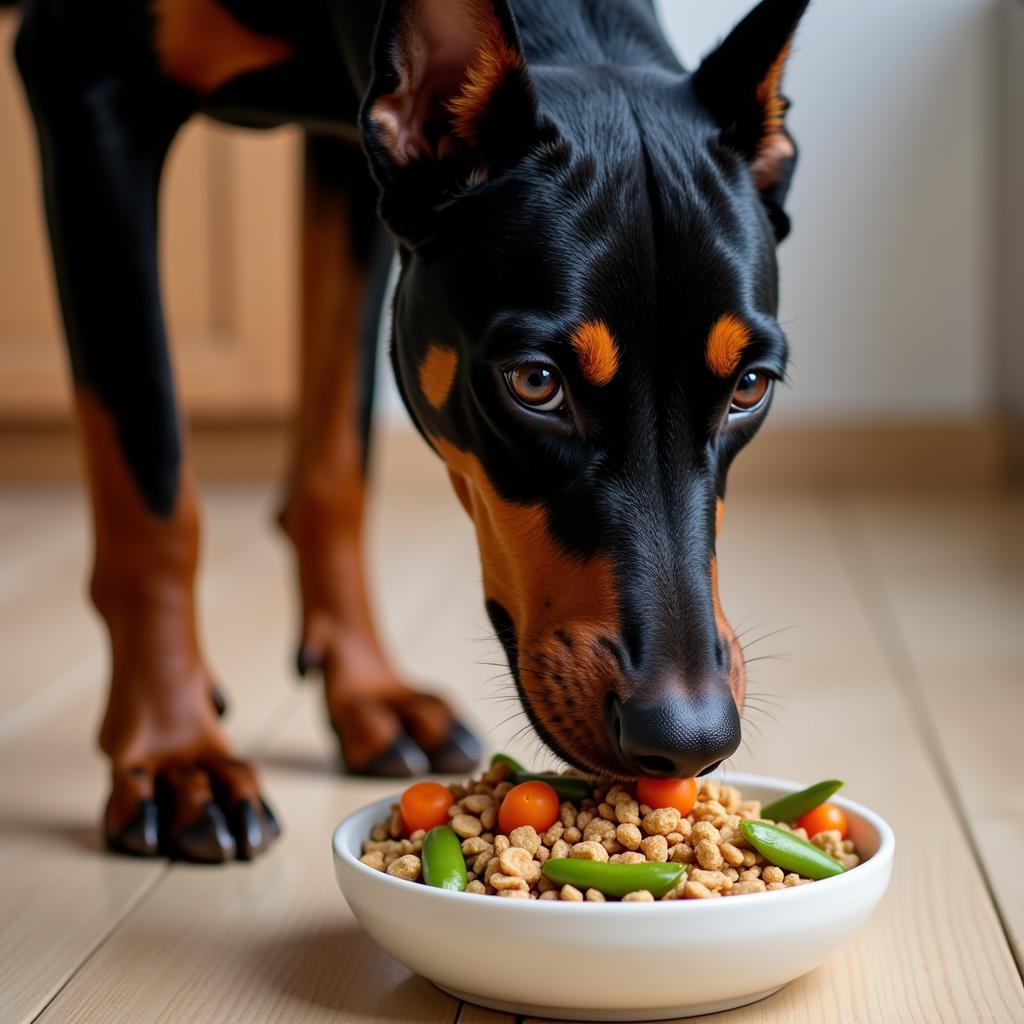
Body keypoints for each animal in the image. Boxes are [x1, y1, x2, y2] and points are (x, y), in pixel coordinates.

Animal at [8, 0, 806, 864]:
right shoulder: (88, 91)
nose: (688, 737)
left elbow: (338, 464)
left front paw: (368, 692)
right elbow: (152, 488)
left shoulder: (348, 163)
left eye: (749, 388)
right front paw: (173, 751)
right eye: (536, 382)